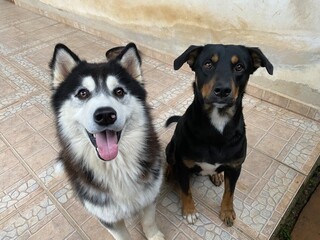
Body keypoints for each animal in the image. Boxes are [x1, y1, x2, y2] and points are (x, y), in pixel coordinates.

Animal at [50, 42, 165, 239]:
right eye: (82, 93)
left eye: (119, 91)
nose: (105, 115)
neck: (116, 167)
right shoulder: (107, 216)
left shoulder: (149, 196)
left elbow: (149, 222)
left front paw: (155, 236)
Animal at [165, 44, 272, 227]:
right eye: (208, 64)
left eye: (239, 67)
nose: (222, 90)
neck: (218, 125)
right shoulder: (183, 165)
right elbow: (186, 190)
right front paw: (190, 211)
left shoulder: (235, 167)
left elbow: (229, 192)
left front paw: (227, 212)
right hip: (170, 149)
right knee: (169, 161)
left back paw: (216, 175)